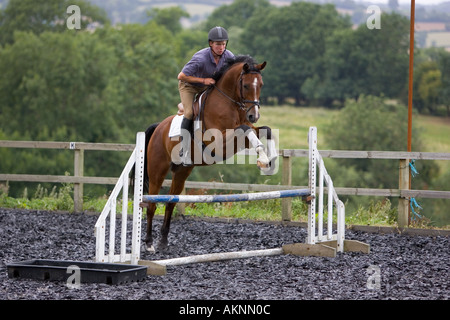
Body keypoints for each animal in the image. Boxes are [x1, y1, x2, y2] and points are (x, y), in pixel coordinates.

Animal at [142, 55, 274, 252]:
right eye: (245, 86)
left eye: (262, 85)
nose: (254, 115)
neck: (229, 102)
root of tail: (159, 127)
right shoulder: (218, 142)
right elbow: (245, 129)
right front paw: (263, 159)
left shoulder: (240, 137)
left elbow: (265, 130)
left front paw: (268, 160)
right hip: (157, 171)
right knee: (151, 204)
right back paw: (149, 243)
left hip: (182, 172)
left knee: (170, 203)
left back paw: (163, 241)